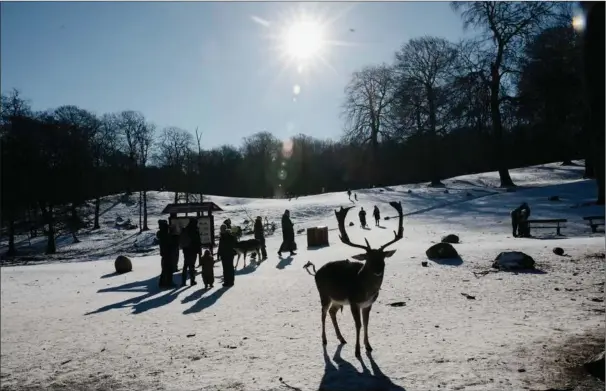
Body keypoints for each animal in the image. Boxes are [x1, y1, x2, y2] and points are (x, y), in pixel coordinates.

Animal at [304, 202, 404, 358]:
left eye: (383, 258)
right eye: (368, 259)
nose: (378, 270)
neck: (365, 290)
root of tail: (315, 272)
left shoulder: (368, 304)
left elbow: (366, 323)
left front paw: (368, 346)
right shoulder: (353, 302)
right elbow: (358, 325)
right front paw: (357, 351)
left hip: (337, 299)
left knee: (332, 312)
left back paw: (342, 338)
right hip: (324, 294)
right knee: (323, 314)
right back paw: (324, 340)